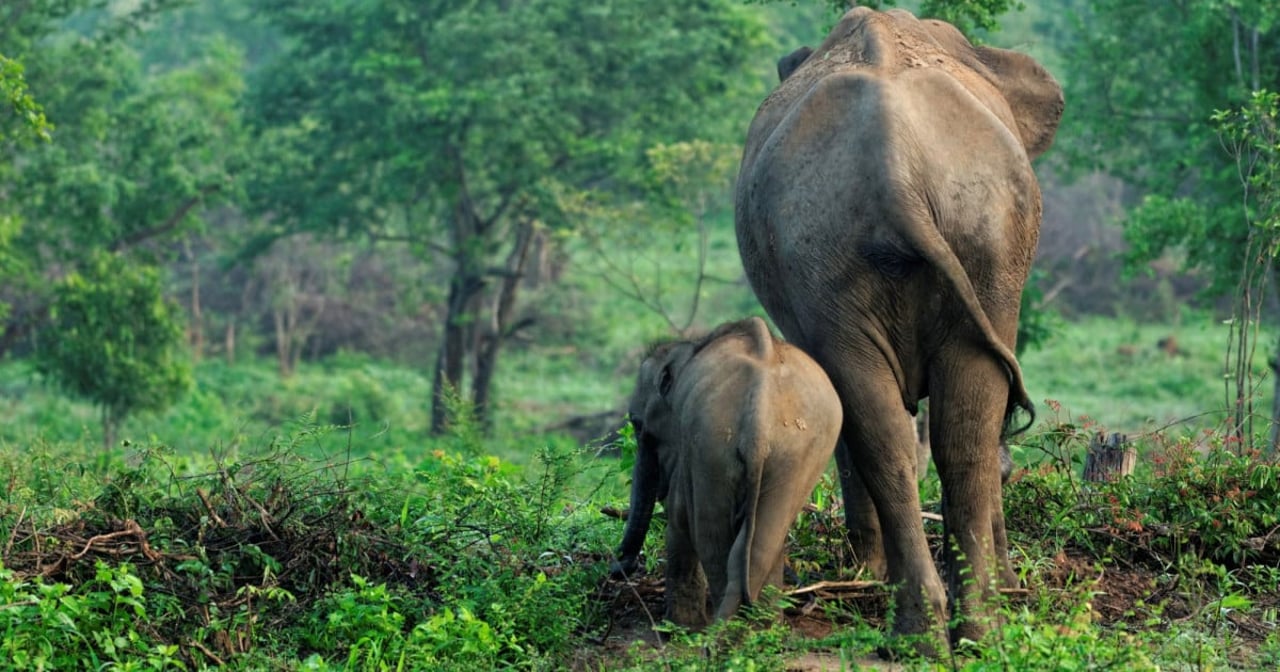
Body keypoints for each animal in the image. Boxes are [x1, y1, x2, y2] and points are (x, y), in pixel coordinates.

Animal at [609, 317, 839, 627]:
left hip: (712, 444)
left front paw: (679, 625)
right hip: (794, 455)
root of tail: (760, 411)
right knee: (764, 541)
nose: (617, 567)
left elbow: (678, 517)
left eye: (636, 423)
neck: (691, 348)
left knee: (711, 535)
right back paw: (759, 626)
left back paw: (720, 627)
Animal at [737, 7, 1064, 650]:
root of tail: (895, 170)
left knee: (910, 426)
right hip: (885, 252)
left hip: (945, 241)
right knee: (931, 426)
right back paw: (958, 626)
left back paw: (948, 627)